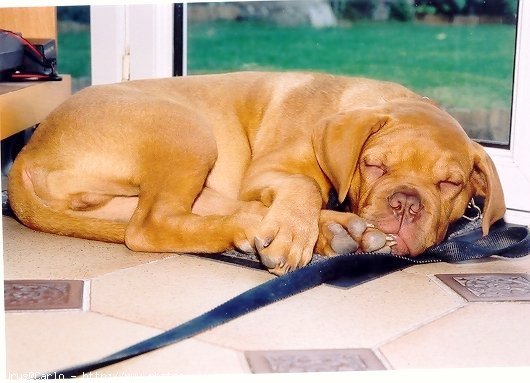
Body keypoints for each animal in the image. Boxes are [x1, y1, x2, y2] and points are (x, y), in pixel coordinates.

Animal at [7, 71, 504, 276]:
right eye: (374, 164)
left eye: (450, 184)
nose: (405, 203)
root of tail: (29, 150)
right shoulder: (269, 170)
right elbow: (302, 184)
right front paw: (291, 234)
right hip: (188, 132)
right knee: (150, 226)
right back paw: (270, 228)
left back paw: (338, 231)